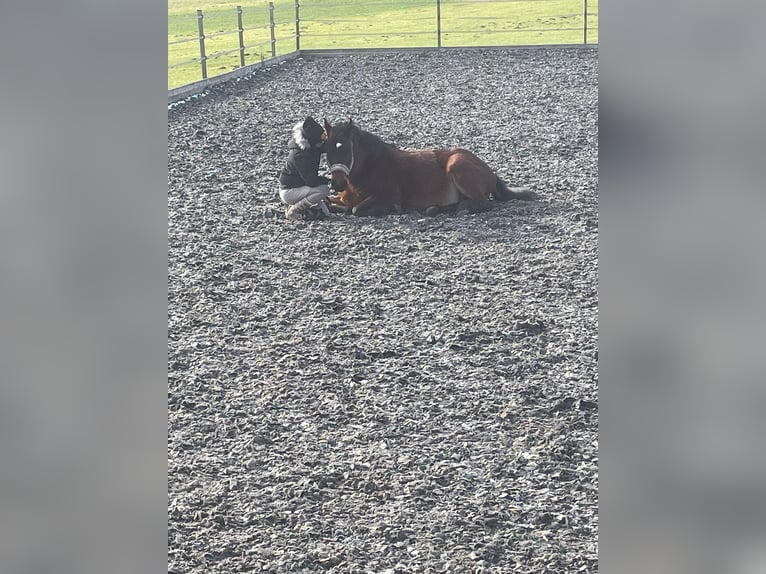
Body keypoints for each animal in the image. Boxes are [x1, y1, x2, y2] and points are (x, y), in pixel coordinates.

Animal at [323, 119, 537, 217]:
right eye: (326, 148)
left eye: (345, 148)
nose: (338, 183)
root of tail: (489, 171)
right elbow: (332, 202)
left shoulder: (388, 196)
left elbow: (356, 209)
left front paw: (393, 209)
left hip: (457, 165)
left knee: (484, 204)